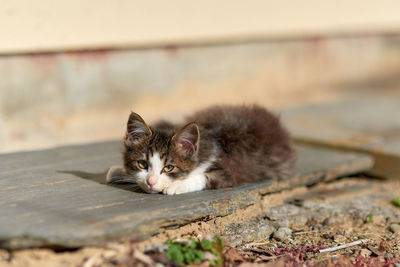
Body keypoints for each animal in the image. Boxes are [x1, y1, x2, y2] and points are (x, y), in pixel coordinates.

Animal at [106, 105, 296, 196]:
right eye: (142, 164)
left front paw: (177, 185)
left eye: (168, 168)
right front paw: (119, 171)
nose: (151, 182)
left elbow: (204, 177)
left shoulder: (232, 170)